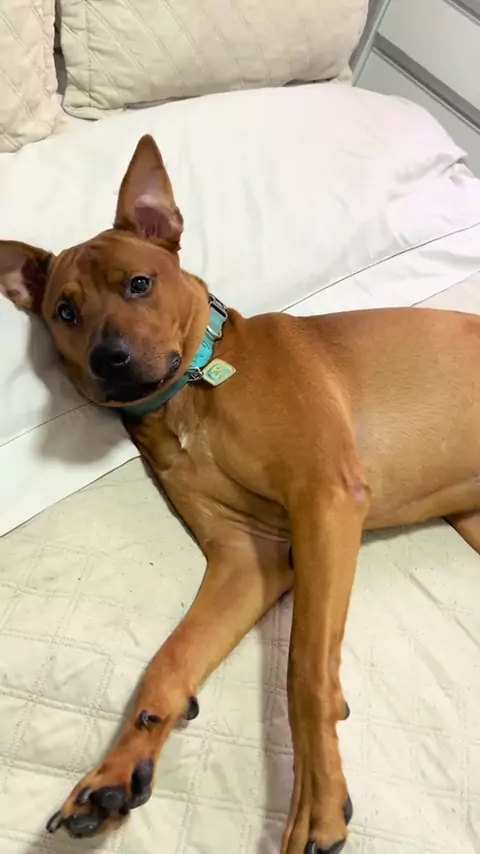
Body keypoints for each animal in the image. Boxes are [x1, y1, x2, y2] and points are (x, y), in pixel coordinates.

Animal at [1, 134, 480, 854]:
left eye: (139, 283)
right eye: (65, 312)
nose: (109, 361)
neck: (195, 391)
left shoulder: (326, 501)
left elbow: (305, 667)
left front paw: (317, 800)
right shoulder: (247, 558)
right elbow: (169, 662)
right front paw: (115, 771)